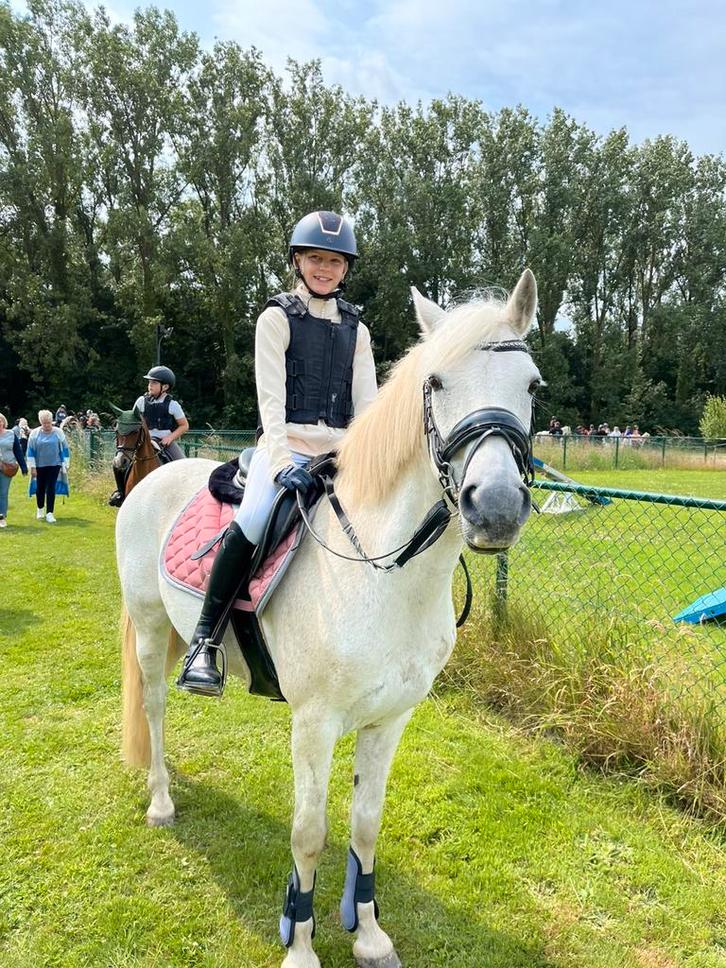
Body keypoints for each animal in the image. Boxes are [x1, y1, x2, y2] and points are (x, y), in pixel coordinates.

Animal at [116, 269, 541, 968]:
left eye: (532, 386)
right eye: (435, 382)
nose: (498, 507)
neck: (379, 572)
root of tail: (149, 481)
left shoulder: (389, 720)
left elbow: (365, 824)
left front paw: (368, 934)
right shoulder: (313, 724)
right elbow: (309, 832)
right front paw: (301, 944)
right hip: (152, 630)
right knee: (153, 706)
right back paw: (160, 800)